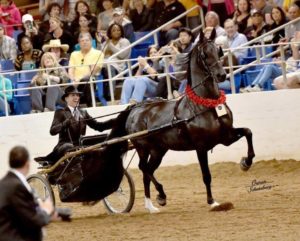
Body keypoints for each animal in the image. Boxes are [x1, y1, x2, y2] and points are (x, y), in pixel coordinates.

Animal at [125, 30, 254, 213]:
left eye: (218, 50)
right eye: (205, 54)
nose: (222, 75)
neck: (205, 103)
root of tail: (135, 110)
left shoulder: (226, 137)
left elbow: (248, 132)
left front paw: (246, 162)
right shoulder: (201, 147)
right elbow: (206, 175)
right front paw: (212, 201)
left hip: (158, 150)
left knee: (147, 171)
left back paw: (152, 205)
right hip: (142, 148)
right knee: (143, 168)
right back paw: (160, 196)